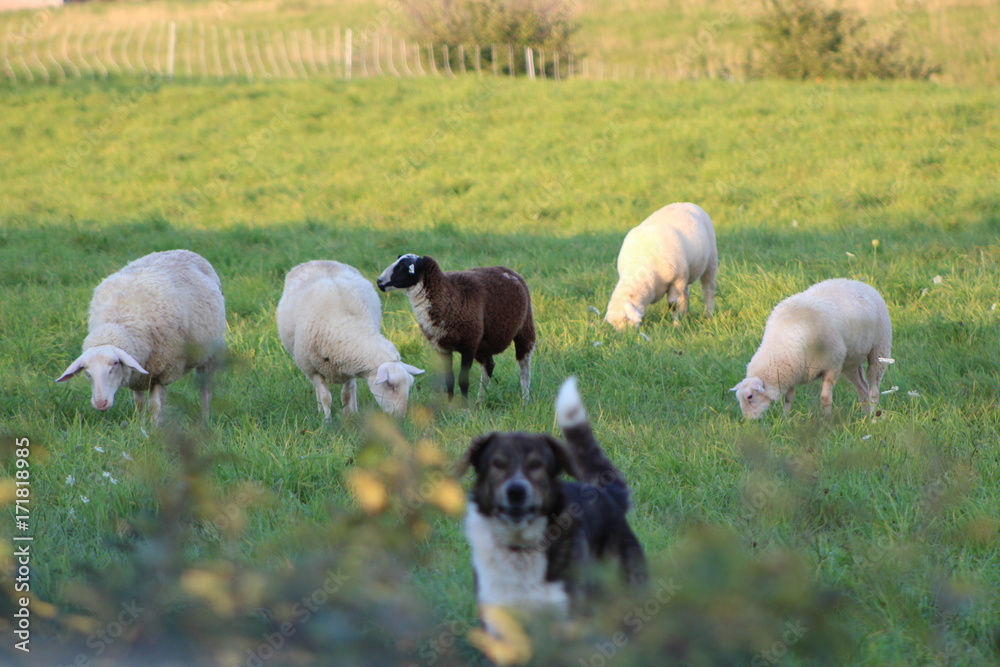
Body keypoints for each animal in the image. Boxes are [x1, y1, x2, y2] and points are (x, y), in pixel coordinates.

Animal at [56, 249, 226, 422]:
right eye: (87, 372)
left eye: (114, 365)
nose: (100, 403)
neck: (119, 322)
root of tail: (183, 250)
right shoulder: (136, 375)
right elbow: (140, 404)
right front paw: (140, 424)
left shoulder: (162, 372)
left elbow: (155, 405)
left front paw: (154, 426)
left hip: (210, 353)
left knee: (205, 389)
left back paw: (205, 418)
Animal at [276, 260, 424, 420]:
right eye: (391, 385)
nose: (400, 418)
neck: (346, 325)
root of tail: (319, 261)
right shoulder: (312, 368)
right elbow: (325, 396)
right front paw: (327, 420)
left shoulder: (347, 367)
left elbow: (347, 394)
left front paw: (349, 416)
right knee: (317, 390)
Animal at [376, 254, 535, 402]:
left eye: (404, 267)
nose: (379, 281)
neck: (447, 294)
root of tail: (508, 270)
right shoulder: (443, 347)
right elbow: (449, 379)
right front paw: (450, 404)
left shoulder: (468, 344)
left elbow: (463, 380)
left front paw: (464, 408)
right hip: (482, 342)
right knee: (489, 366)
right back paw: (480, 401)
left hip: (524, 327)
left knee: (524, 367)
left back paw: (525, 400)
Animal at [605, 202, 718, 330]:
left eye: (626, 319)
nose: (626, 335)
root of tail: (686, 203)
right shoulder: (680, 278)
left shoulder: (676, 281)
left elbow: (673, 305)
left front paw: (676, 325)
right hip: (686, 272)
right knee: (685, 294)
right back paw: (685, 314)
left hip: (711, 261)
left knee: (709, 289)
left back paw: (708, 315)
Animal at [731, 278, 892, 419]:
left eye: (750, 397)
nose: (748, 421)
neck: (784, 342)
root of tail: (859, 282)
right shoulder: (794, 370)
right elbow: (788, 398)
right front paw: (785, 419)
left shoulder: (832, 366)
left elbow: (825, 398)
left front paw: (827, 420)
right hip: (849, 361)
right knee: (862, 387)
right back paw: (865, 415)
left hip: (880, 348)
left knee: (873, 388)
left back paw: (873, 416)